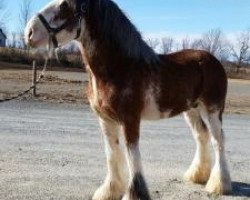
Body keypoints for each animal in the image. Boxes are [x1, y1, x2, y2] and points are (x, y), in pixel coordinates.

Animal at [24, 0, 231, 199]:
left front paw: (135, 194)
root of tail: (212, 59)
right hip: (191, 110)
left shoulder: (130, 120)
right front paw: (109, 191)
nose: (29, 33)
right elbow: (112, 154)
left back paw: (219, 185)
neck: (119, 68)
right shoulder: (105, 120)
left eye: (64, 5)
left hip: (212, 109)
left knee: (218, 140)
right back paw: (197, 176)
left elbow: (132, 156)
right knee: (201, 136)